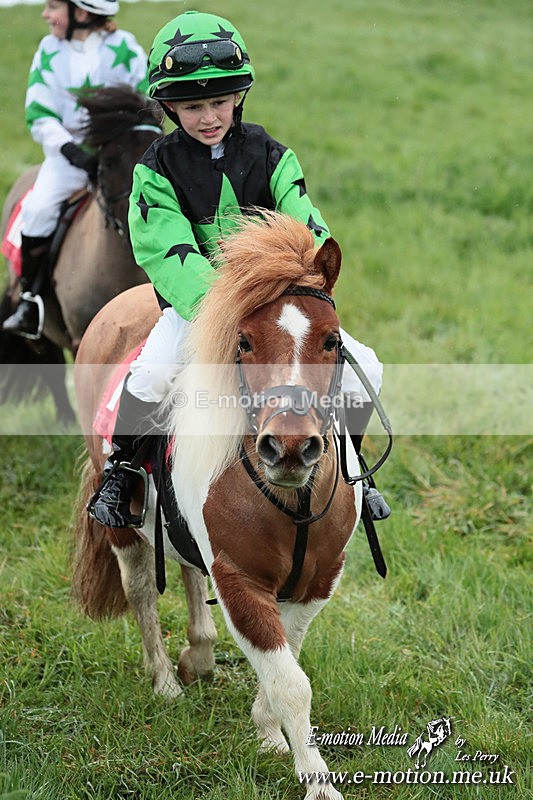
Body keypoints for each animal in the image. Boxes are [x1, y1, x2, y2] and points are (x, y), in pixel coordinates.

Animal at [72, 212, 363, 800]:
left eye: (332, 340)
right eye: (243, 341)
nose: (290, 447)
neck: (290, 497)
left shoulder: (317, 581)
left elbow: (286, 662)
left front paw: (268, 733)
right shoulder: (238, 580)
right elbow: (291, 683)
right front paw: (317, 782)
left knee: (186, 568)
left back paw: (200, 654)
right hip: (124, 532)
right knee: (141, 592)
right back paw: (165, 680)